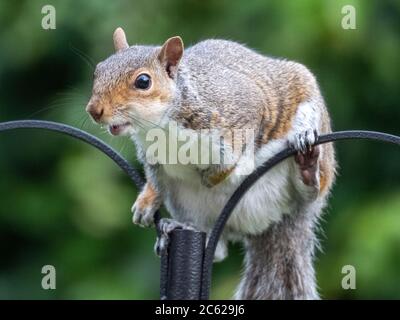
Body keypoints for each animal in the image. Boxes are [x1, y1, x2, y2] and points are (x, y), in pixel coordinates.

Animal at [86, 28, 336, 300]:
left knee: (311, 191)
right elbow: (156, 182)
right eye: (98, 71)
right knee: (217, 249)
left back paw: (307, 167)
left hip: (306, 113)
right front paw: (147, 200)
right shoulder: (154, 160)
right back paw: (177, 226)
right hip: (188, 203)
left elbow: (234, 152)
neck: (161, 127)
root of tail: (271, 221)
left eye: (143, 81)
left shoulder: (242, 109)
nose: (94, 110)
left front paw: (213, 177)